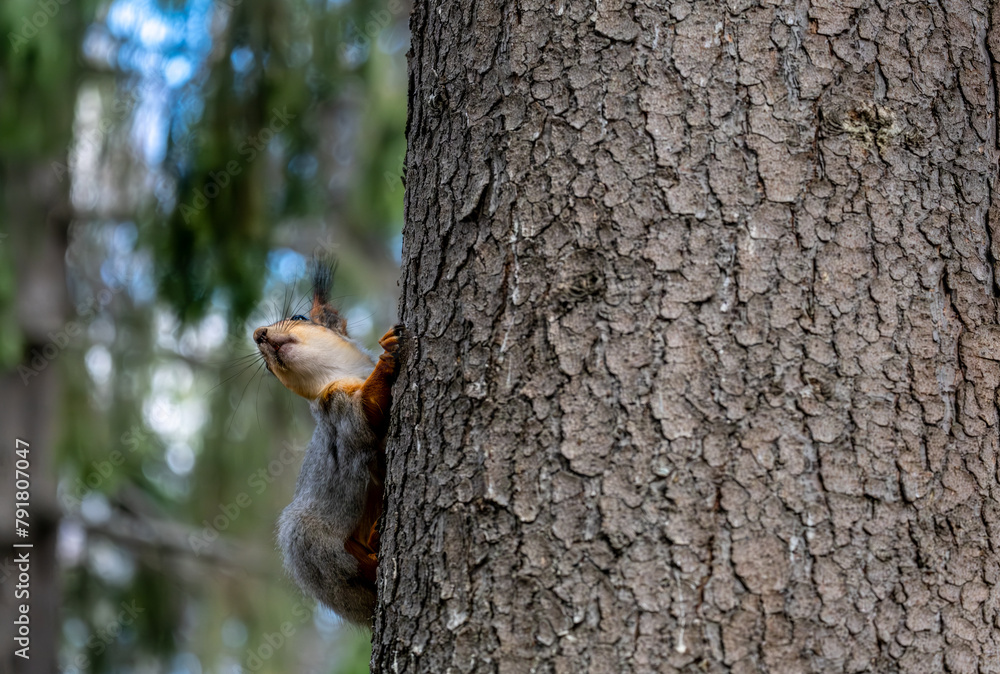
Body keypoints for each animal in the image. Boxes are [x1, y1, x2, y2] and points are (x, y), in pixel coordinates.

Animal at [253, 262, 401, 626]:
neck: (335, 374)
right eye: (267, 369)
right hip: (308, 538)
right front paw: (387, 352)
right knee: (352, 570)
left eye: (299, 317)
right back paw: (372, 556)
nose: (258, 334)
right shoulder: (337, 411)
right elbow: (365, 417)